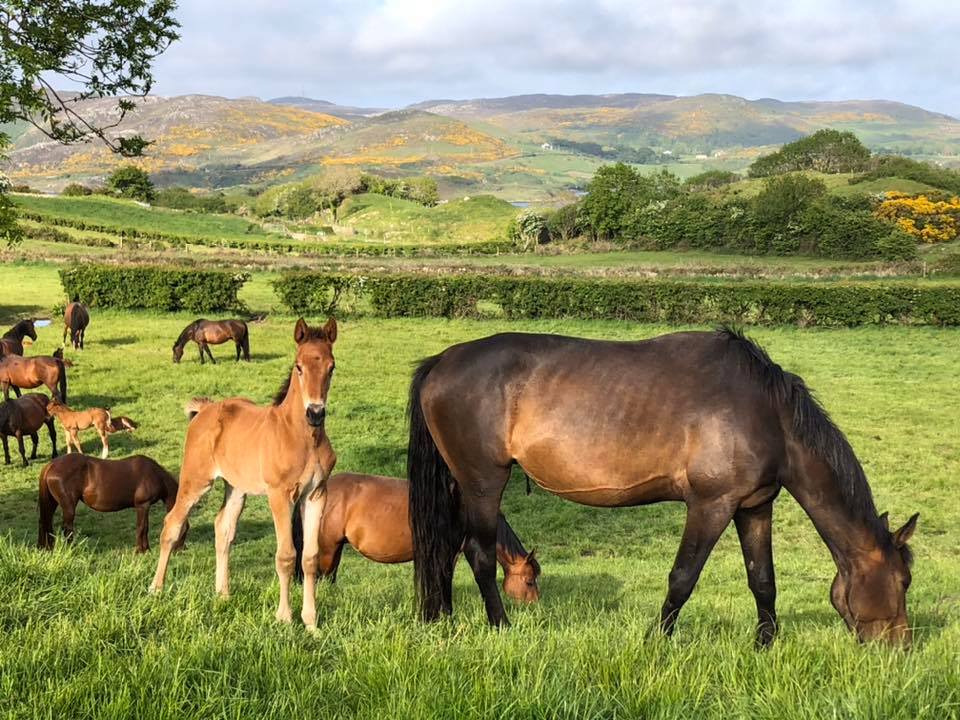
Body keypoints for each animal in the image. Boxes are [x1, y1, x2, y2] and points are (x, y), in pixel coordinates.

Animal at [39, 456, 188, 552]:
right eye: (185, 528)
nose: (180, 550)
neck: (155, 474)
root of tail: (51, 465)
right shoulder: (143, 505)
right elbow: (142, 527)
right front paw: (141, 550)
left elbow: (144, 527)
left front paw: (145, 549)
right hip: (68, 506)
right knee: (67, 528)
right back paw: (72, 550)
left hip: (52, 503)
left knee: (46, 523)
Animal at [152, 320, 340, 632]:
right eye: (299, 366)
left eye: (331, 367)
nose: (315, 413)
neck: (303, 438)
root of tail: (205, 409)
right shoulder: (279, 495)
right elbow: (287, 555)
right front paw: (284, 618)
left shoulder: (316, 495)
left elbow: (310, 558)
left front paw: (312, 624)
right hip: (196, 480)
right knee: (172, 523)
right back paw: (156, 589)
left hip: (237, 488)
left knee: (223, 528)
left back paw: (222, 594)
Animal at [404, 330, 916, 648]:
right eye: (904, 581)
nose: (902, 647)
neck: (766, 412)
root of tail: (440, 362)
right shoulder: (710, 505)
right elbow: (683, 577)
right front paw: (658, 640)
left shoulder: (753, 507)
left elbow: (763, 580)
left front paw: (765, 645)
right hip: (483, 484)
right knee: (479, 554)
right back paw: (501, 626)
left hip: (458, 485)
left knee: (445, 548)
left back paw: (444, 618)